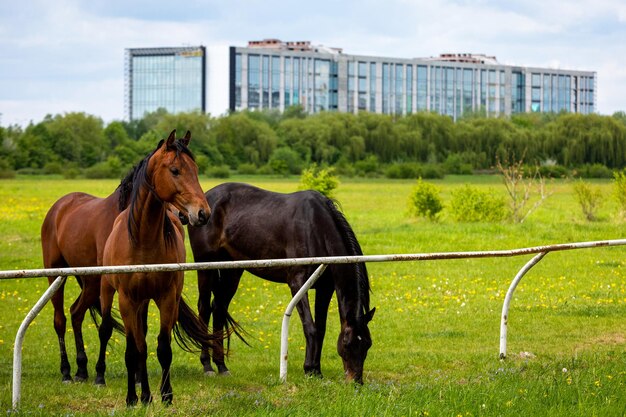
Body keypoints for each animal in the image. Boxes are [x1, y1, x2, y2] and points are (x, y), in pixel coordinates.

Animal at [94, 129, 218, 404]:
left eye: (195, 169)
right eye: (175, 170)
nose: (203, 213)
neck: (143, 242)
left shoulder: (166, 298)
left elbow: (162, 348)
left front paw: (166, 394)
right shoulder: (127, 300)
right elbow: (133, 349)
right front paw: (132, 397)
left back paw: (147, 391)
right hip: (109, 292)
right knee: (110, 330)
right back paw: (108, 380)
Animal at [186, 182, 376, 384]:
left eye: (368, 344)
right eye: (347, 344)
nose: (356, 381)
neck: (316, 228)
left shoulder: (325, 289)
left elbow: (320, 329)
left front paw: (317, 371)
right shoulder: (297, 284)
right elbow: (310, 327)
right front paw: (309, 369)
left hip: (233, 270)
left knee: (219, 309)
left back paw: (222, 366)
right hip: (206, 266)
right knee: (205, 308)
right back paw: (207, 365)